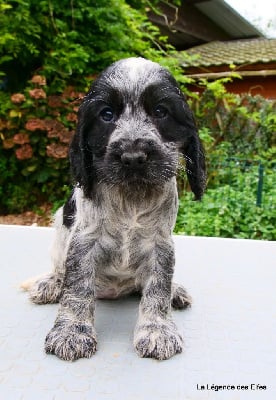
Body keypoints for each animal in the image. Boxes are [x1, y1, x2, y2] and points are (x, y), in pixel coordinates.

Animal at [23, 57, 205, 360]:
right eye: (106, 114)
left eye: (161, 111)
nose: (133, 157)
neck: (131, 196)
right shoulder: (83, 242)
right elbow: (77, 287)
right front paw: (72, 332)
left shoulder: (160, 245)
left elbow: (158, 287)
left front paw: (157, 330)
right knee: (60, 271)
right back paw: (51, 283)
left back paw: (175, 291)